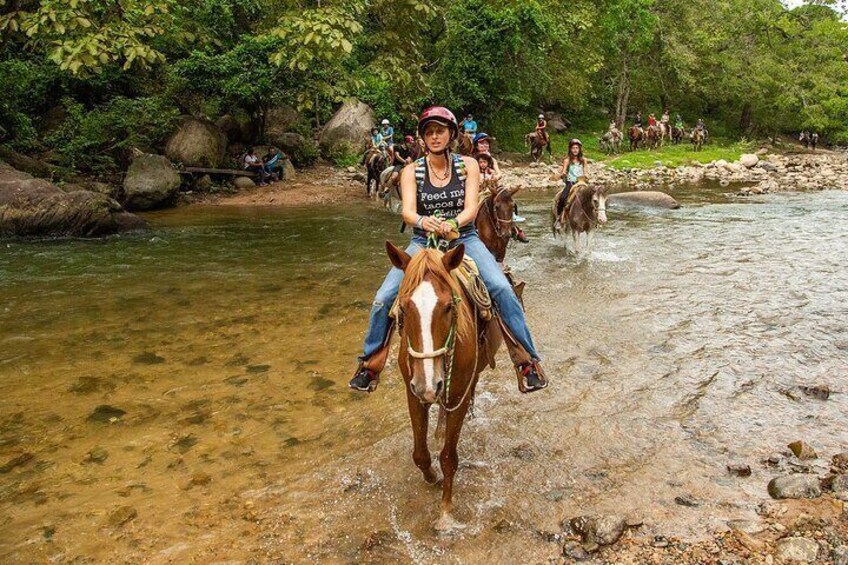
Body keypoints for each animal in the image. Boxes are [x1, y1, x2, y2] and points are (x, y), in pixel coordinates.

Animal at [386, 240, 500, 532]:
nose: (429, 384)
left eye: (449, 306)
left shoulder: (458, 395)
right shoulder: (413, 394)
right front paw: (431, 477)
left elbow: (449, 457)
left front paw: (446, 511)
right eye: (404, 308)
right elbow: (420, 453)